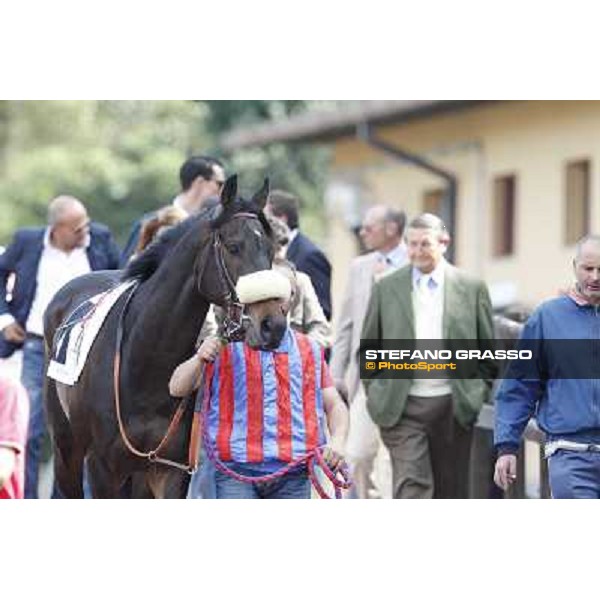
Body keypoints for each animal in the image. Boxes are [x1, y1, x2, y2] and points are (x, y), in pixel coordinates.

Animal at [43, 176, 274, 500]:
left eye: (270, 249)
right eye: (233, 247)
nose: (272, 322)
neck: (145, 362)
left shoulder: (169, 469)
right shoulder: (102, 468)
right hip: (68, 451)